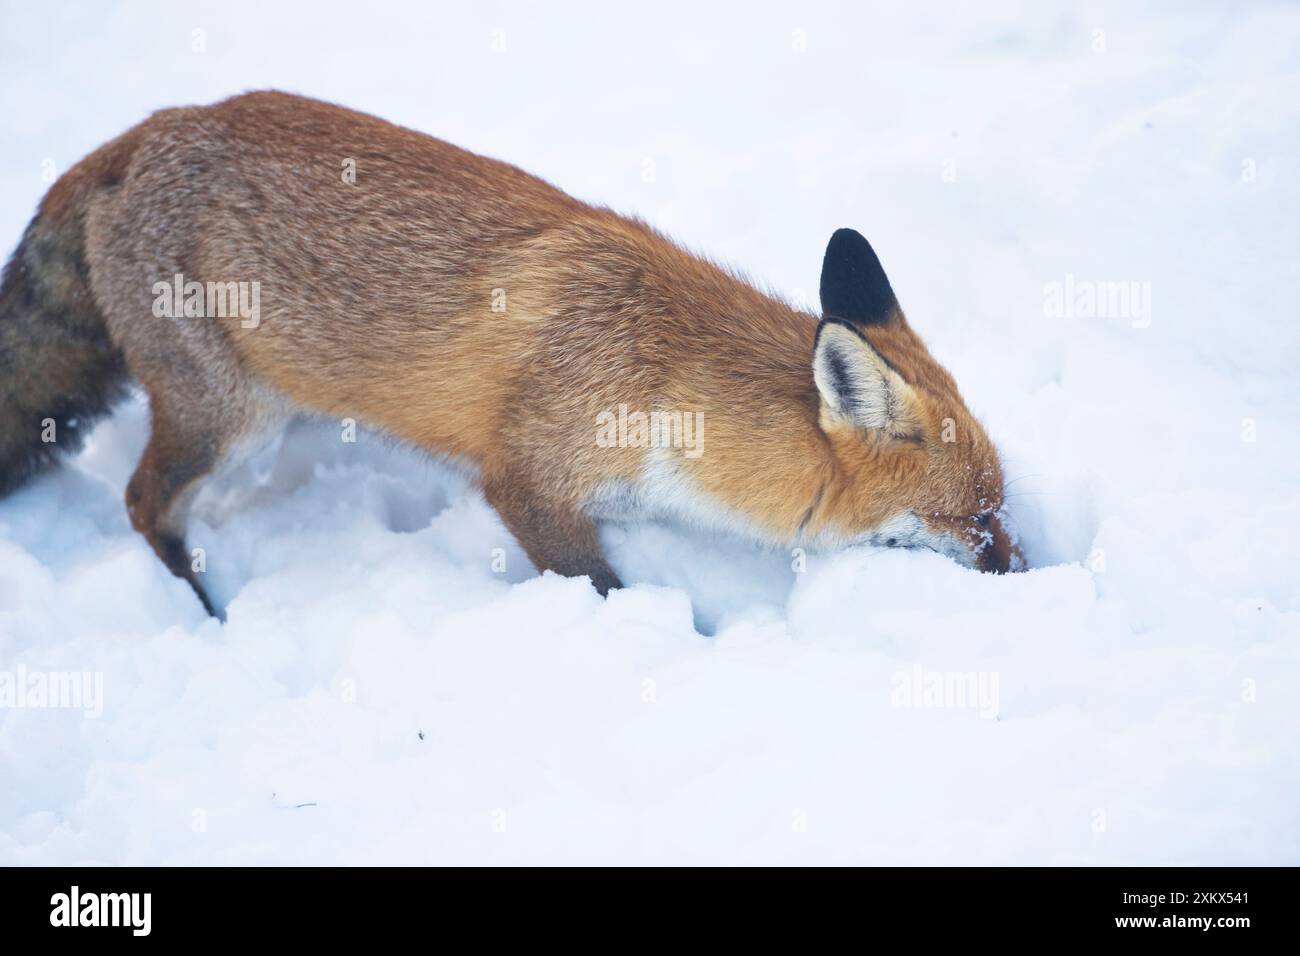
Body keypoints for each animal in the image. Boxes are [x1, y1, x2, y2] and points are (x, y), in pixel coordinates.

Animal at [0, 93, 1013, 616]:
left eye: (1001, 513)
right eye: (974, 523)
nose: (1026, 569)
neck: (660, 373)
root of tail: (136, 134)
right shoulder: (528, 483)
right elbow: (601, 588)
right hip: (227, 420)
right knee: (142, 502)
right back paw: (199, 608)